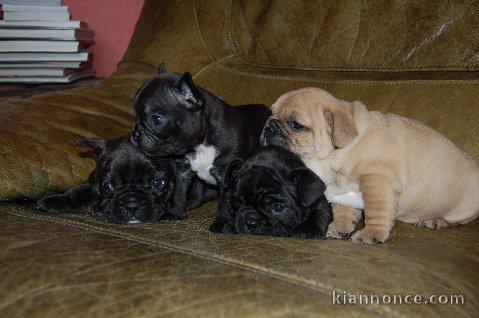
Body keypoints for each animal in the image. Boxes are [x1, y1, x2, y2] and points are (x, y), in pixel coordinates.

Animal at [36, 136, 217, 224]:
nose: (132, 204)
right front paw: (54, 200)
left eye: (157, 184)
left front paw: (98, 210)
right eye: (108, 186)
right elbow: (79, 190)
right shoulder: (94, 182)